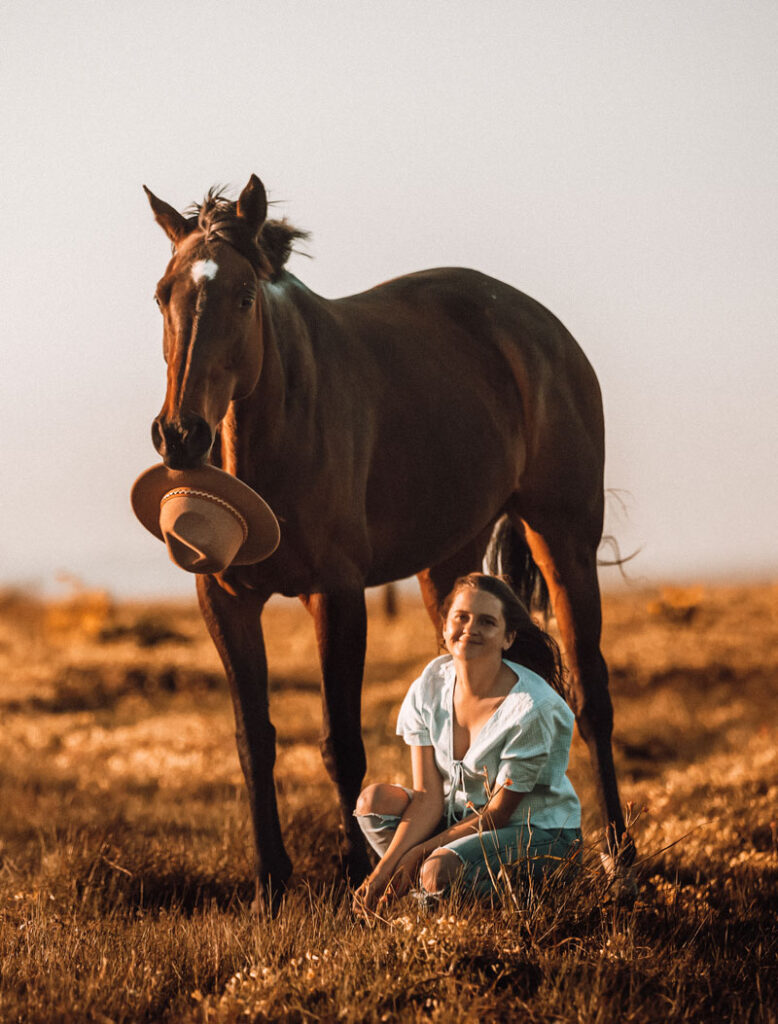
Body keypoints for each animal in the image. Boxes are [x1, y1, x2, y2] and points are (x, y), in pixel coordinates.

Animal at [143, 173, 633, 899]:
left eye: (244, 294)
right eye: (162, 293)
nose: (180, 435)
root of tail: (540, 327)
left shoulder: (337, 594)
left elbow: (341, 742)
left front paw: (354, 868)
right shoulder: (226, 600)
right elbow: (253, 738)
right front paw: (270, 882)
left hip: (564, 536)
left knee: (590, 693)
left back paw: (621, 857)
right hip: (450, 565)